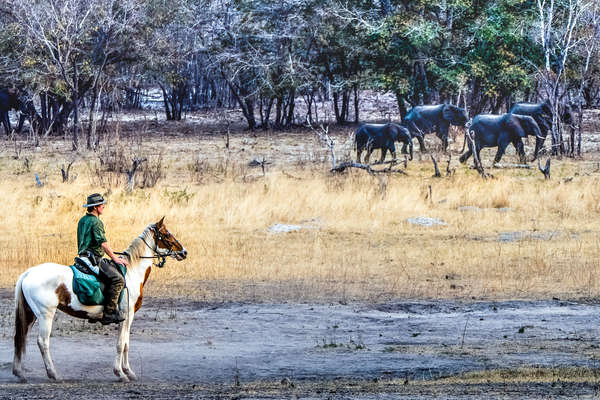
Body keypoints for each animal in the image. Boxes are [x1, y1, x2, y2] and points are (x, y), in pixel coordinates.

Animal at [13, 217, 188, 382]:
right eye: (167, 234)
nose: (184, 252)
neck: (132, 273)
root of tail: (28, 273)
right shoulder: (127, 315)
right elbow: (120, 345)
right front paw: (120, 373)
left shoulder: (129, 317)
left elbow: (126, 344)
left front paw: (129, 372)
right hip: (45, 315)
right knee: (43, 342)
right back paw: (53, 374)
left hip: (31, 314)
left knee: (21, 337)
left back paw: (19, 373)